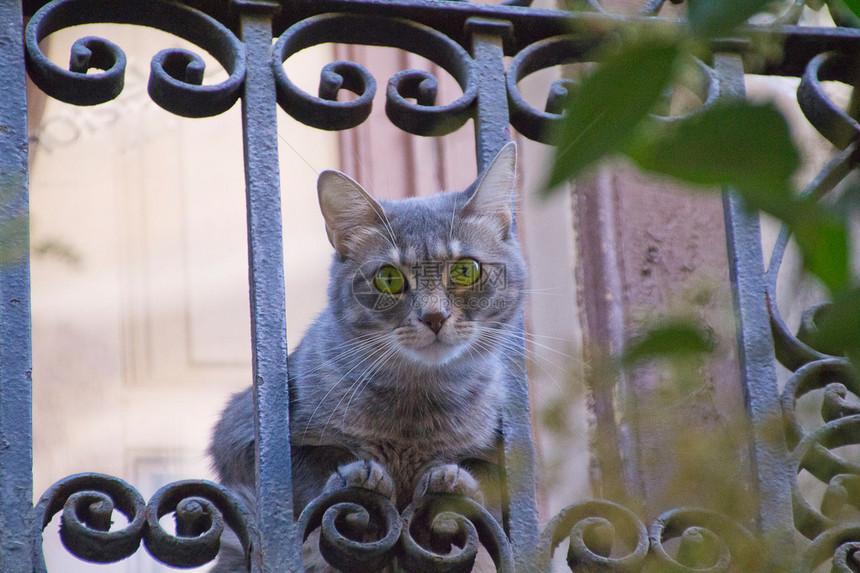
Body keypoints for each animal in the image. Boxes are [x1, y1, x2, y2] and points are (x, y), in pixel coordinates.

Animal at [212, 141, 528, 568]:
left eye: (466, 270)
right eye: (388, 278)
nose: (434, 317)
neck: (416, 406)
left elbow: (483, 478)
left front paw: (452, 482)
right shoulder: (239, 434)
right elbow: (314, 462)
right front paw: (360, 474)